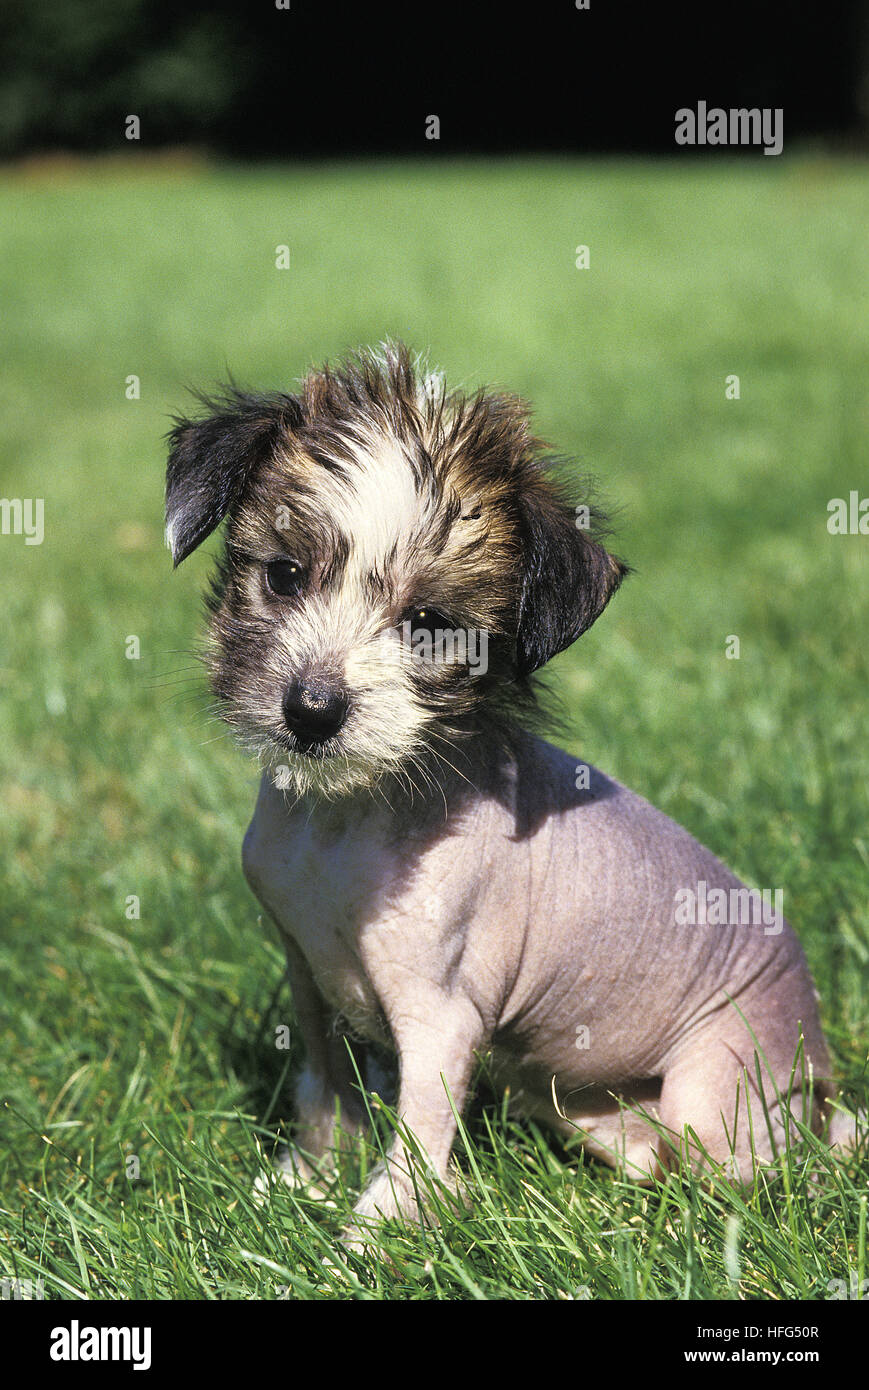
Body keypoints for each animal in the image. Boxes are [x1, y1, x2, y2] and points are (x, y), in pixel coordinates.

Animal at [166, 341, 856, 1245]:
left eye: (428, 626)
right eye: (283, 577)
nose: (311, 712)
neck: (347, 819)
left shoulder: (441, 1019)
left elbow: (416, 1138)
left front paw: (369, 1241)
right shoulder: (308, 983)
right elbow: (323, 1094)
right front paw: (302, 1185)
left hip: (713, 1098)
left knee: (764, 1174)